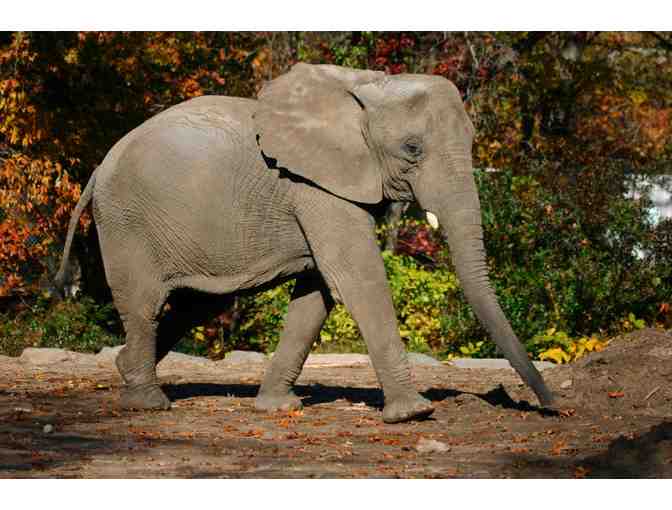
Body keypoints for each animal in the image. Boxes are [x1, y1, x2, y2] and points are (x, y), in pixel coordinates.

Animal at [55, 63, 555, 423]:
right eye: (412, 149)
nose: (548, 408)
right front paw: (414, 414)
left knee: (198, 304)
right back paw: (149, 403)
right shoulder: (314, 185)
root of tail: (98, 168)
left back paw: (125, 371)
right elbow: (355, 275)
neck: (368, 87)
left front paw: (278, 408)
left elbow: (318, 291)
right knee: (145, 306)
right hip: (127, 221)